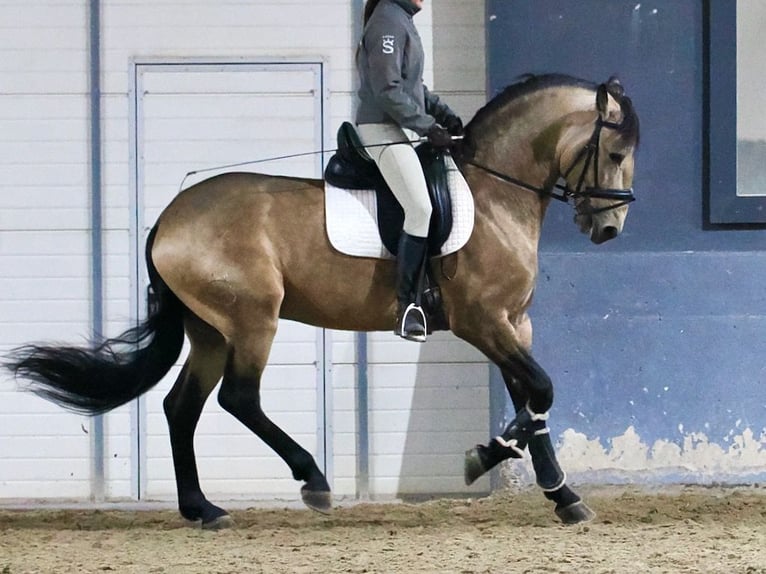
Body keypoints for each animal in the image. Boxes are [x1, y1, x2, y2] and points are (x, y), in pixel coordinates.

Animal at [7, 75, 640, 532]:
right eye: (613, 151)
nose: (608, 228)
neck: (493, 196)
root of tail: (168, 216)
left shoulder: (514, 323)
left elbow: (532, 401)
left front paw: (563, 495)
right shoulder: (483, 322)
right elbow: (541, 391)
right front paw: (486, 457)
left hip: (211, 329)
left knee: (181, 408)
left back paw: (203, 510)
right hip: (252, 320)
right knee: (239, 398)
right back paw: (312, 479)